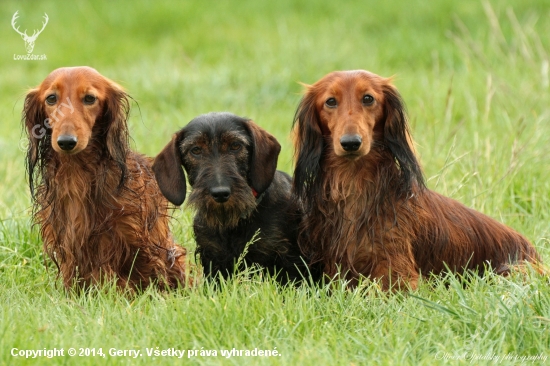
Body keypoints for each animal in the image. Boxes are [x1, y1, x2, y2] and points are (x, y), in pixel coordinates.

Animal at [152, 113, 314, 284]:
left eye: (236, 145)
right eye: (195, 150)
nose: (220, 193)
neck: (234, 221)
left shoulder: (288, 260)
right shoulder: (213, 258)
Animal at [294, 70, 544, 290]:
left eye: (368, 98)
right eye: (330, 102)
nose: (351, 143)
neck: (354, 183)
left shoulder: (397, 271)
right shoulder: (337, 268)